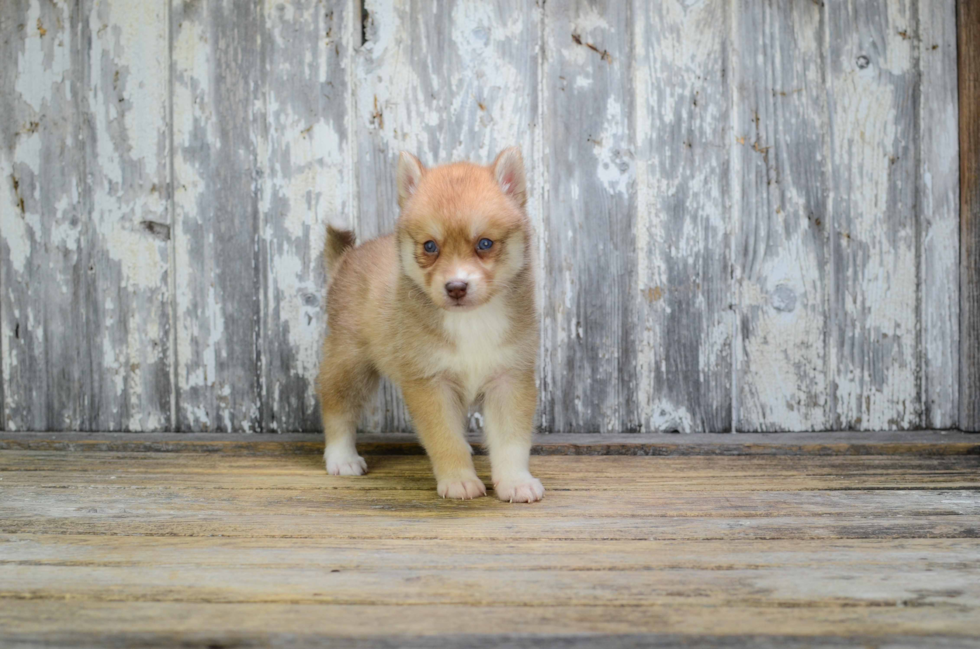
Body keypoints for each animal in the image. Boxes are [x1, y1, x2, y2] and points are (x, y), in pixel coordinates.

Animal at [318, 147, 544, 502]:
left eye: (484, 244)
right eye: (430, 247)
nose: (456, 287)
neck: (471, 322)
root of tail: (347, 258)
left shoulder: (509, 379)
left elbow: (512, 442)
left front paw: (515, 481)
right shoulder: (430, 384)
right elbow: (445, 439)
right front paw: (459, 480)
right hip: (349, 364)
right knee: (337, 407)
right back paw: (342, 458)